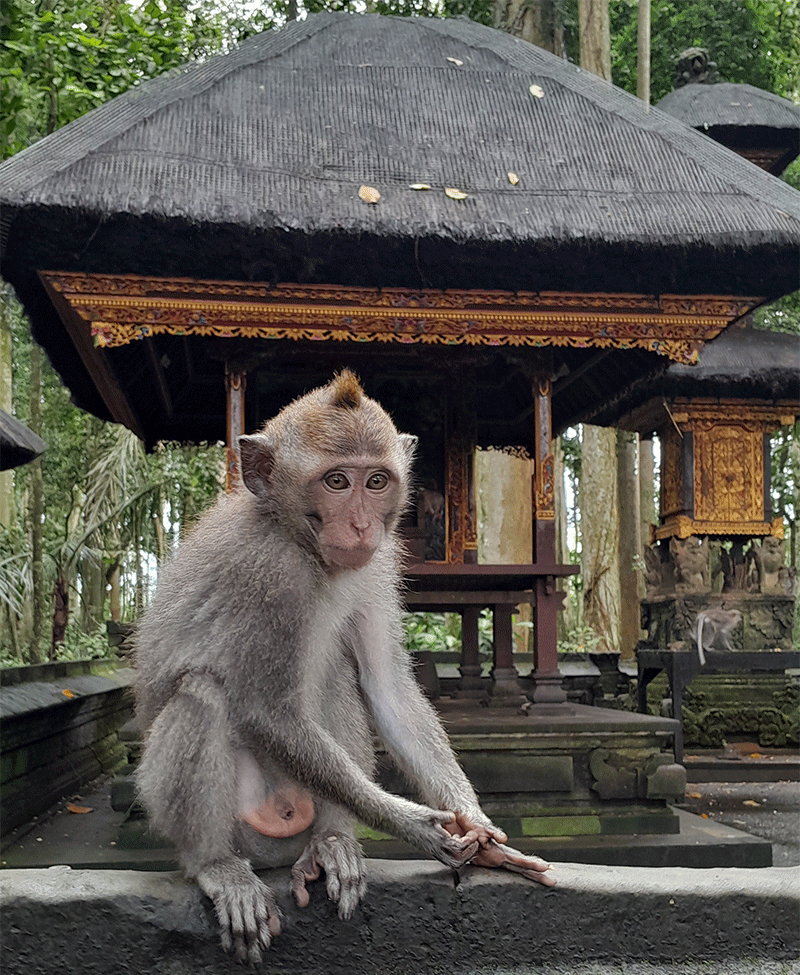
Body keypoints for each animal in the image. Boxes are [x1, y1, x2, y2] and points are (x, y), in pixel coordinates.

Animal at [134, 371, 555, 964]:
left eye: (376, 481)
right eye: (336, 481)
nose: (359, 524)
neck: (301, 544)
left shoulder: (378, 563)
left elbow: (388, 687)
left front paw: (477, 826)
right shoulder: (267, 573)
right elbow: (267, 711)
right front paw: (416, 825)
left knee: (337, 676)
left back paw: (332, 844)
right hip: (242, 821)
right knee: (202, 694)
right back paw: (217, 866)